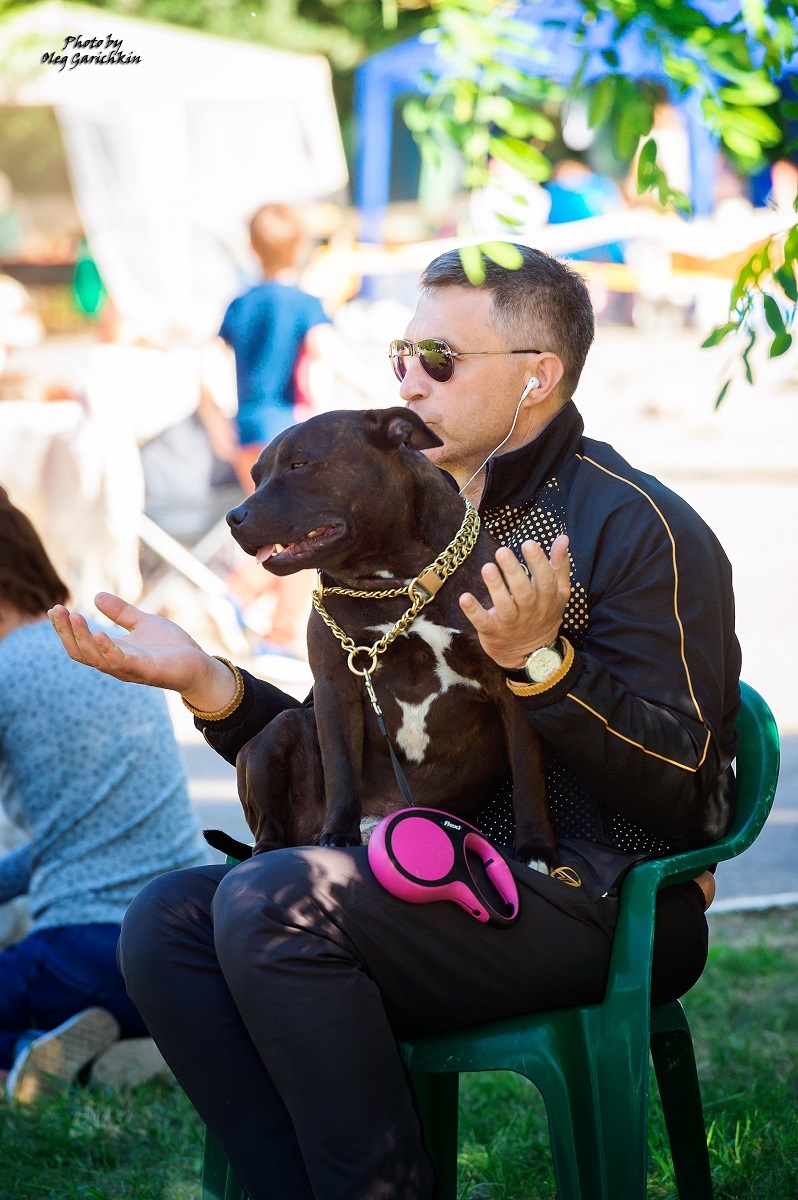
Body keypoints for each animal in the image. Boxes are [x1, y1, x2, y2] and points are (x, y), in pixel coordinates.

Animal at [220, 405, 556, 873]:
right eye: (255, 476)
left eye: (299, 464)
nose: (234, 517)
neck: (395, 584)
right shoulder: (336, 686)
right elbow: (341, 769)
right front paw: (337, 837)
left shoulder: (510, 687)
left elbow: (528, 775)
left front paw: (535, 851)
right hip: (276, 736)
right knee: (266, 830)